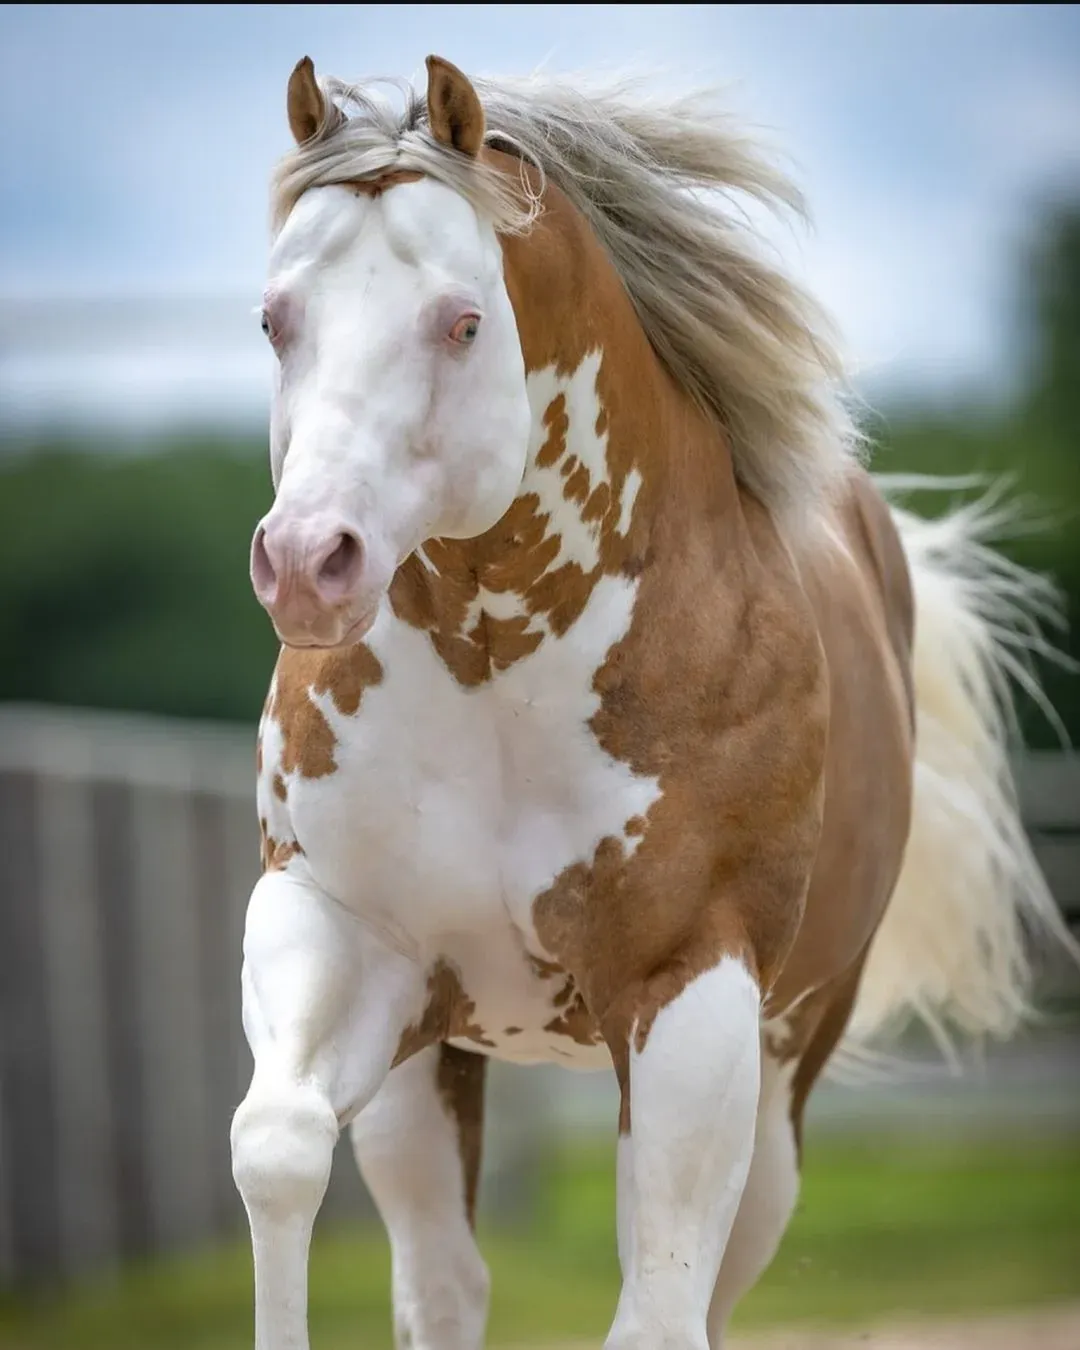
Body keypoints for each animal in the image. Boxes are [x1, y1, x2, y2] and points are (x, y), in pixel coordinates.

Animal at [231, 53, 1074, 1350]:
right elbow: (275, 1149)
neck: (502, 666)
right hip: (437, 1070)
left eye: (462, 322)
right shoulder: (339, 927)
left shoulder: (691, 991)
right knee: (442, 1278)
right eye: (277, 319)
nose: (308, 562)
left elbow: (659, 1307)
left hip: (775, 1091)